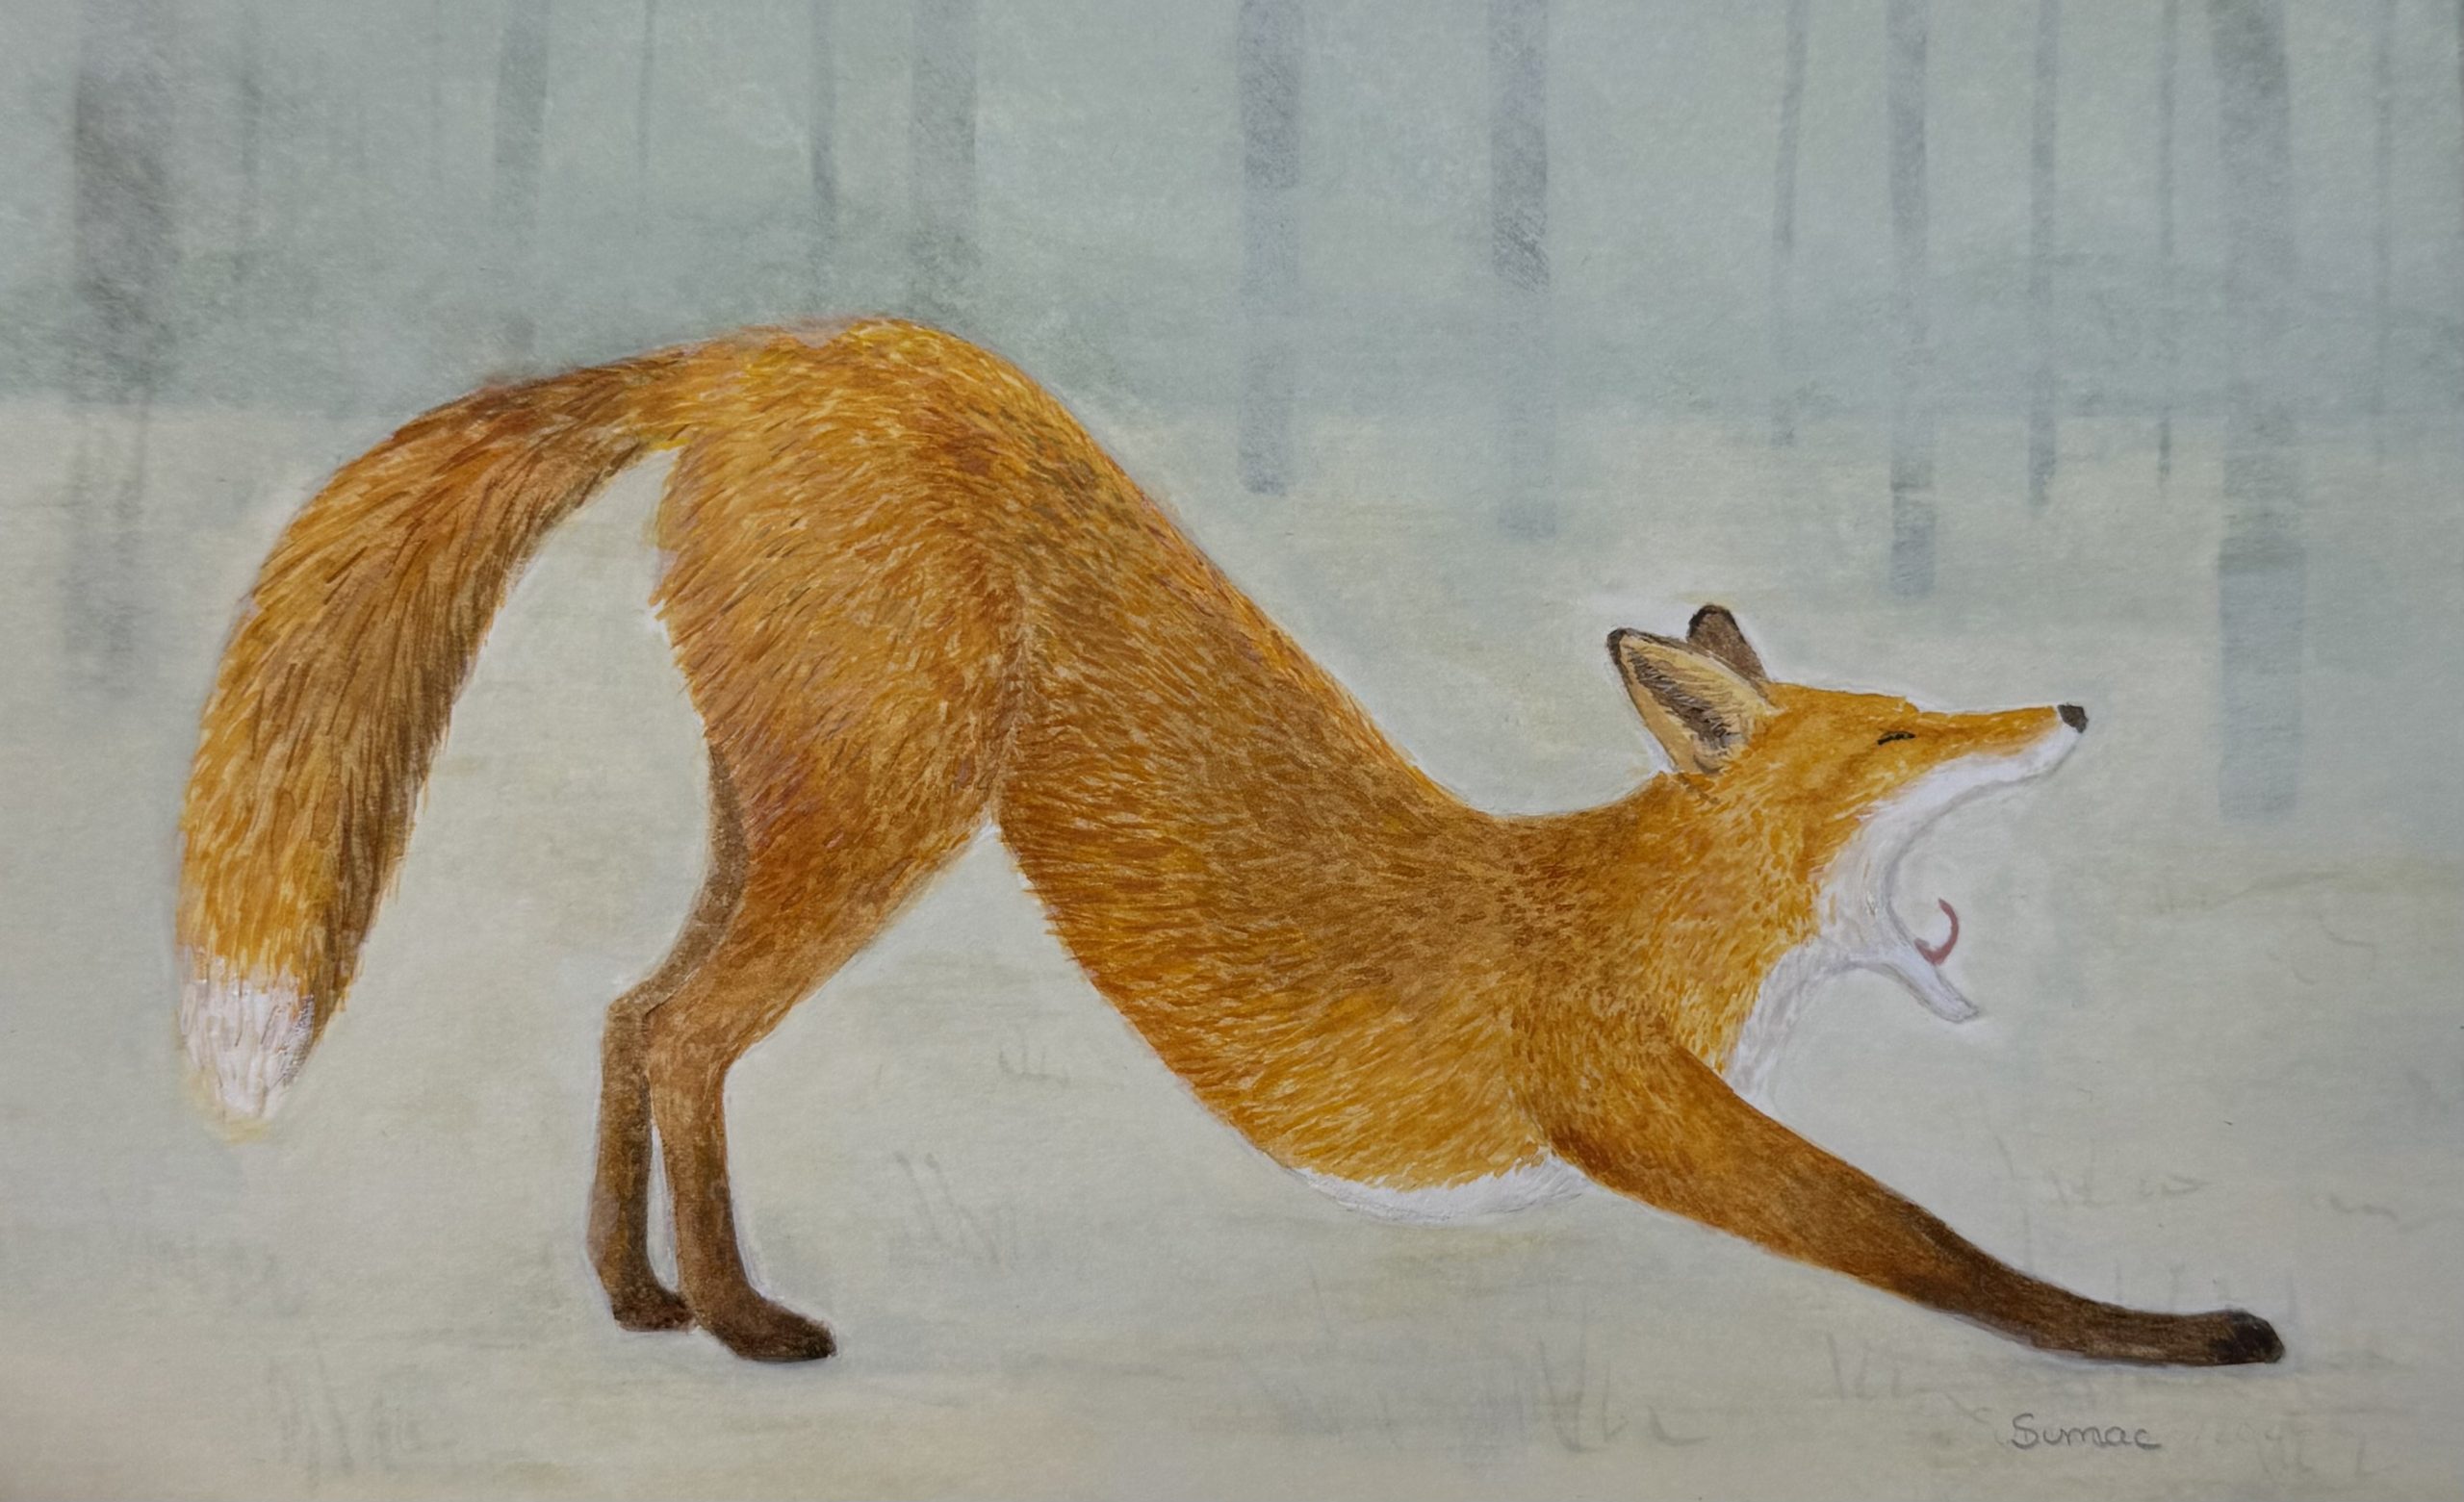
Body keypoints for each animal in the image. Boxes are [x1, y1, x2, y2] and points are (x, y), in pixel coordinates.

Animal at [178, 318, 2282, 1368]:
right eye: (1902, 730)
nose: (2071, 710)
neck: (1630, 911)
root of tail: (770, 344)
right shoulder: (1631, 1108)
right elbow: (1934, 1243)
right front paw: (2173, 1334)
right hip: (884, 805)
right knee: (686, 1029)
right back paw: (745, 1322)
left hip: (784, 797)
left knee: (628, 1013)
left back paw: (632, 1301)